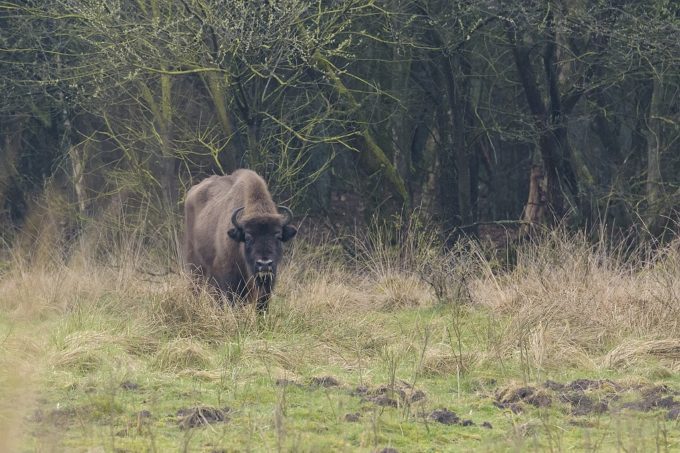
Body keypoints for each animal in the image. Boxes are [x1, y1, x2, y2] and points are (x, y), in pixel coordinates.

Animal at [183, 170, 298, 310]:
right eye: (248, 237)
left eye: (278, 236)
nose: (264, 264)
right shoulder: (229, 279)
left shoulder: (268, 282)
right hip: (195, 265)